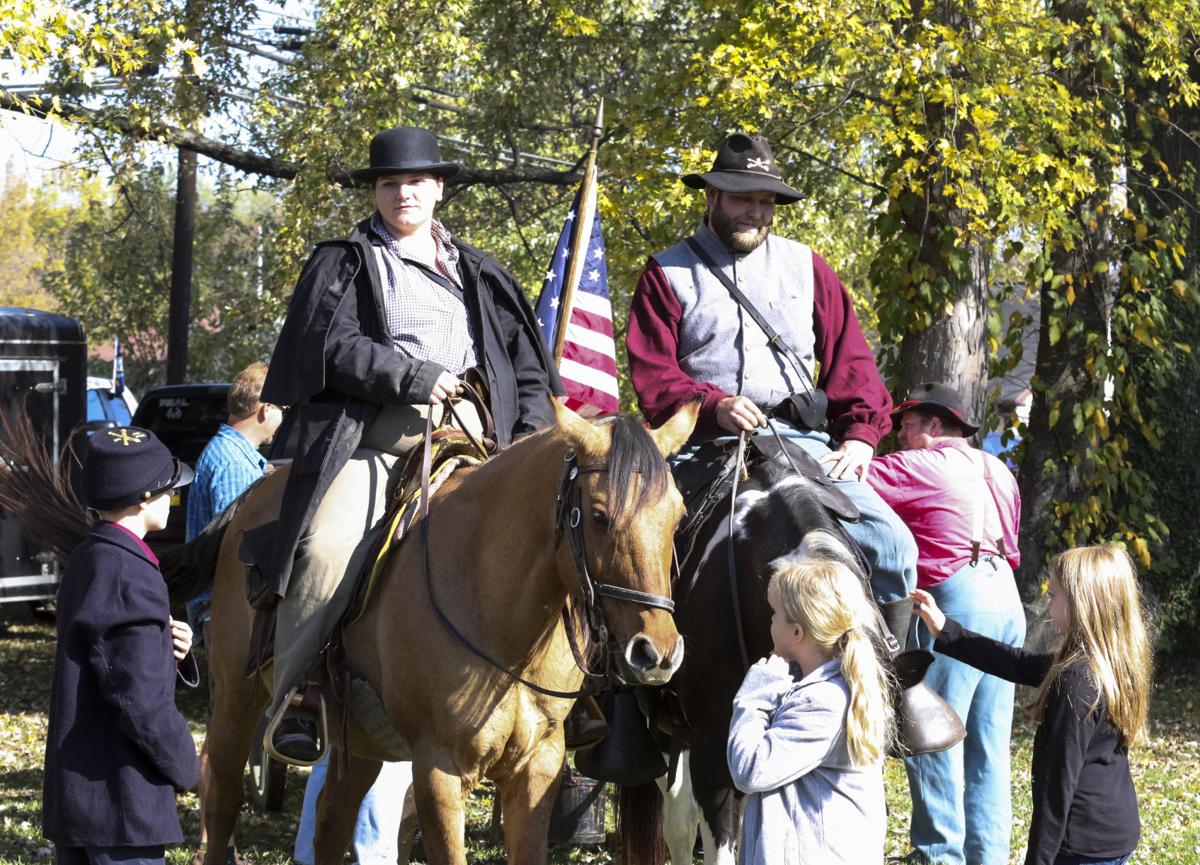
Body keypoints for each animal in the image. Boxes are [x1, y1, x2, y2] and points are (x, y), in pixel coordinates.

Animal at [182, 400, 700, 863]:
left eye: (678, 515)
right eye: (597, 515)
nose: (657, 653)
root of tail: (249, 499)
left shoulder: (538, 767)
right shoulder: (439, 770)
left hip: (360, 740)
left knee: (331, 822)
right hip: (237, 701)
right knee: (222, 797)